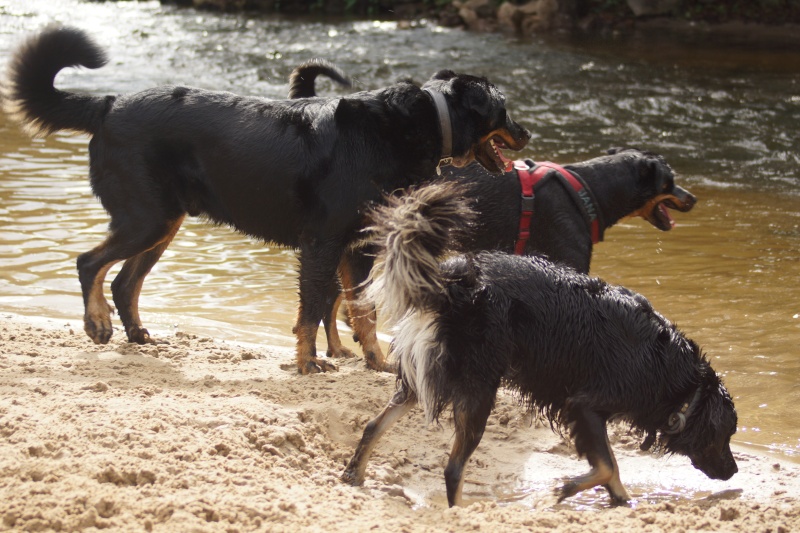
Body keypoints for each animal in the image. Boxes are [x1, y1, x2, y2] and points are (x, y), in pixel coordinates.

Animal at [6, 27, 536, 372]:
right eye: (505, 109)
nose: (528, 133)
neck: (415, 125)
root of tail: (109, 103)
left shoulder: (358, 246)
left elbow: (361, 311)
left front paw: (375, 361)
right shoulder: (323, 243)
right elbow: (311, 310)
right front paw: (307, 364)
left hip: (163, 221)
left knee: (124, 281)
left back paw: (135, 334)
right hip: (145, 217)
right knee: (89, 263)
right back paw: (97, 323)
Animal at [288, 62, 692, 366]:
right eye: (670, 181)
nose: (691, 198)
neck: (587, 189)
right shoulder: (570, 264)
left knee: (337, 297)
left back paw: (338, 347)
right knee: (334, 297)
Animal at [340, 182, 736, 502]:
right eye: (726, 434)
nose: (733, 471)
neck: (674, 374)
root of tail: (454, 284)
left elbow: (612, 471)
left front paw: (621, 501)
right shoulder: (585, 405)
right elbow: (608, 465)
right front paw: (568, 488)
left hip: (426, 376)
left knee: (374, 425)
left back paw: (353, 474)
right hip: (479, 387)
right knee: (453, 468)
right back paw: (464, 512)